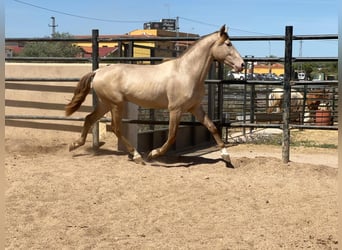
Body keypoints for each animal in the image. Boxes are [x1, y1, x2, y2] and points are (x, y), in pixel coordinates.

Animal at [65, 25, 244, 164]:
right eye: (228, 44)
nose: (242, 64)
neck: (186, 72)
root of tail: (98, 71)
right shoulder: (175, 109)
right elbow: (172, 136)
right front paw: (153, 154)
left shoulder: (195, 107)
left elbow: (212, 127)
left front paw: (226, 156)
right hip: (116, 104)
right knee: (116, 128)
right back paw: (137, 155)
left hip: (105, 103)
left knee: (89, 118)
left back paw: (74, 145)